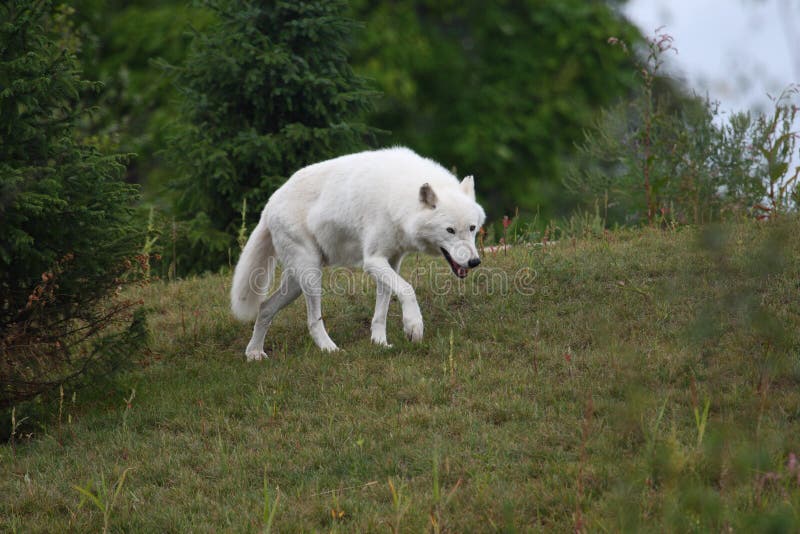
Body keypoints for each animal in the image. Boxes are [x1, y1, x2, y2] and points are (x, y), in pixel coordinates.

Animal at [228, 149, 484, 362]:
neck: (398, 199)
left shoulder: (392, 262)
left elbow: (382, 309)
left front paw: (380, 343)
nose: (474, 262)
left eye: (472, 228)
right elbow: (407, 289)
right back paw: (330, 349)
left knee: (265, 307)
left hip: (296, 285)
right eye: (450, 230)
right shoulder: (372, 261)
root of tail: (269, 205)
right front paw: (413, 327)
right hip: (311, 276)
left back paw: (254, 353)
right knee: (312, 321)